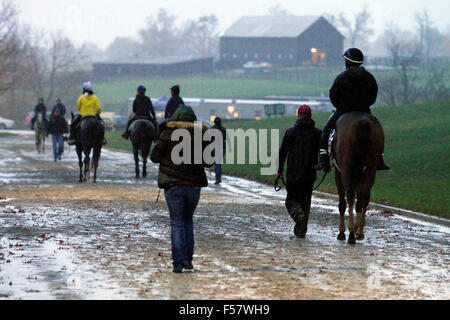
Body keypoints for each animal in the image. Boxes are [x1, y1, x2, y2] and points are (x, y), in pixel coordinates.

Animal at [332, 111, 384, 244]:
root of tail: (363, 122)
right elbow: (362, 199)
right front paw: (358, 229)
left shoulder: (339, 172)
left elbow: (342, 203)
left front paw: (342, 232)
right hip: (370, 168)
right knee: (363, 197)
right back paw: (359, 232)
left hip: (347, 170)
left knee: (350, 198)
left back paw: (350, 234)